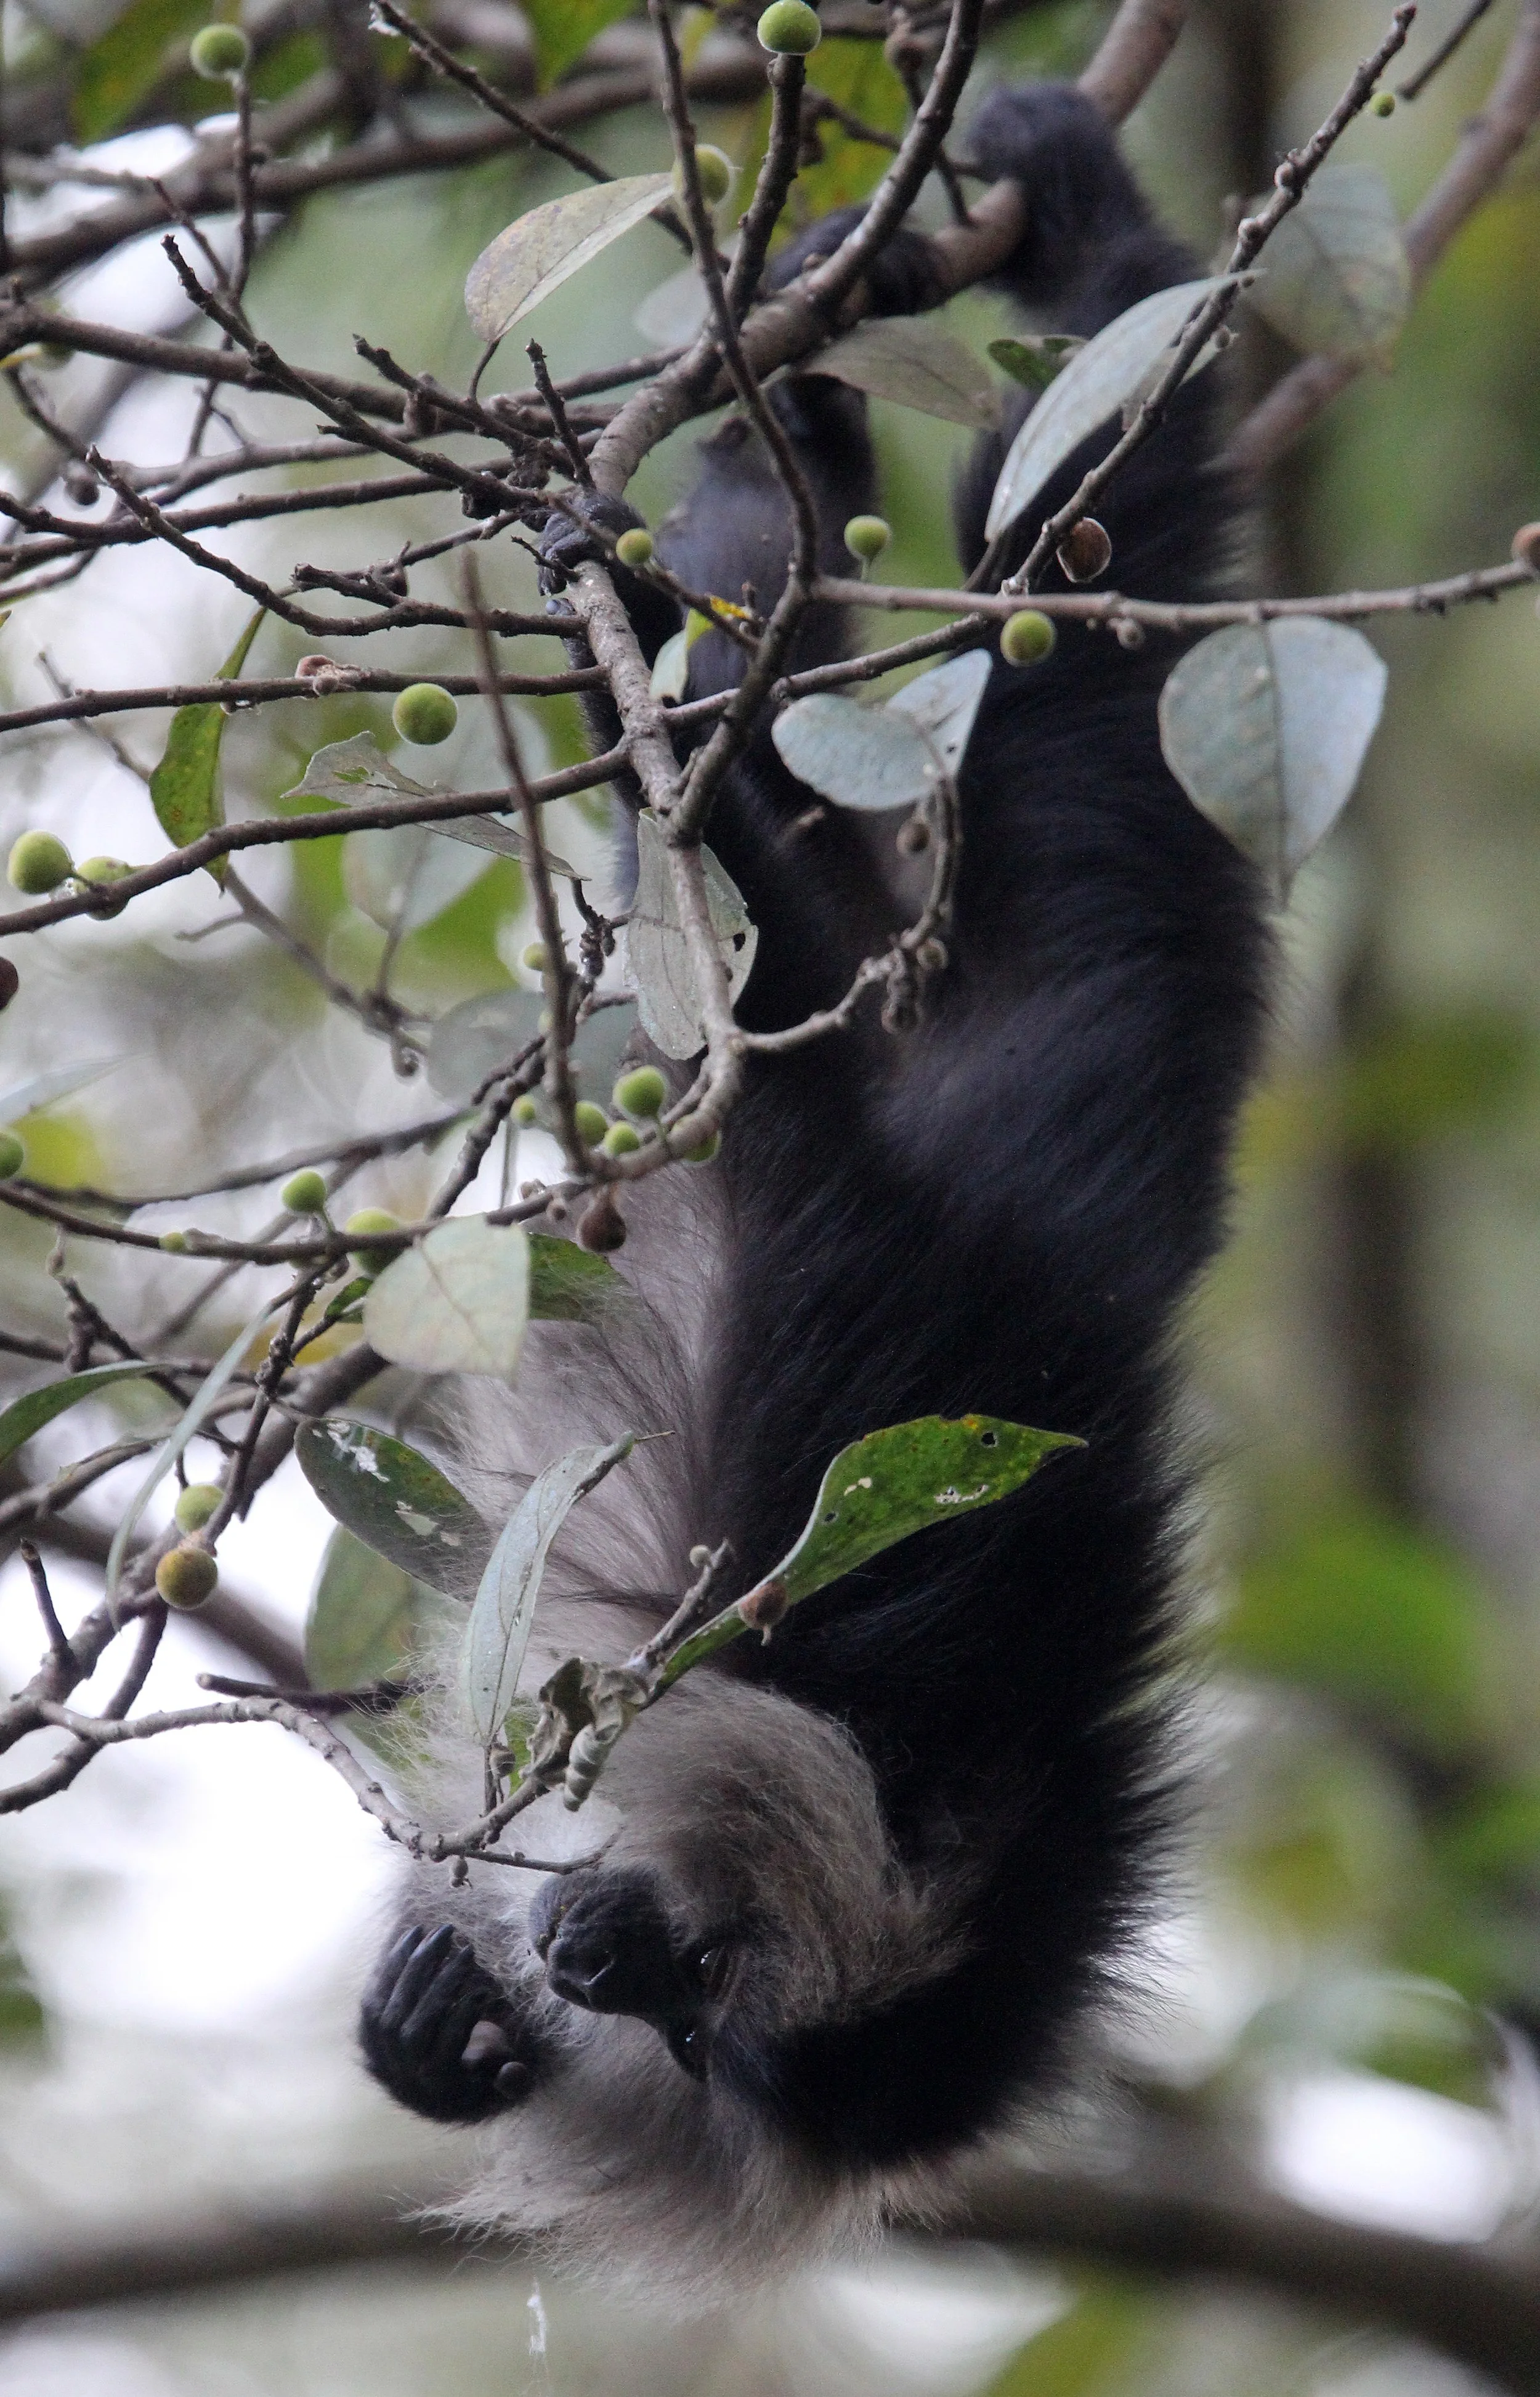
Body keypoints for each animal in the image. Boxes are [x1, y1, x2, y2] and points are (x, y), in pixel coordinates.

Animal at [357, 80, 1271, 2297]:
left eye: (708, 2023)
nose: (594, 1957)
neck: (926, 1737)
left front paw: (443, 2030)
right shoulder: (852, 1501)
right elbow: (774, 1068)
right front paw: (647, 680)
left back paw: (796, 441)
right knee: (1079, 613)